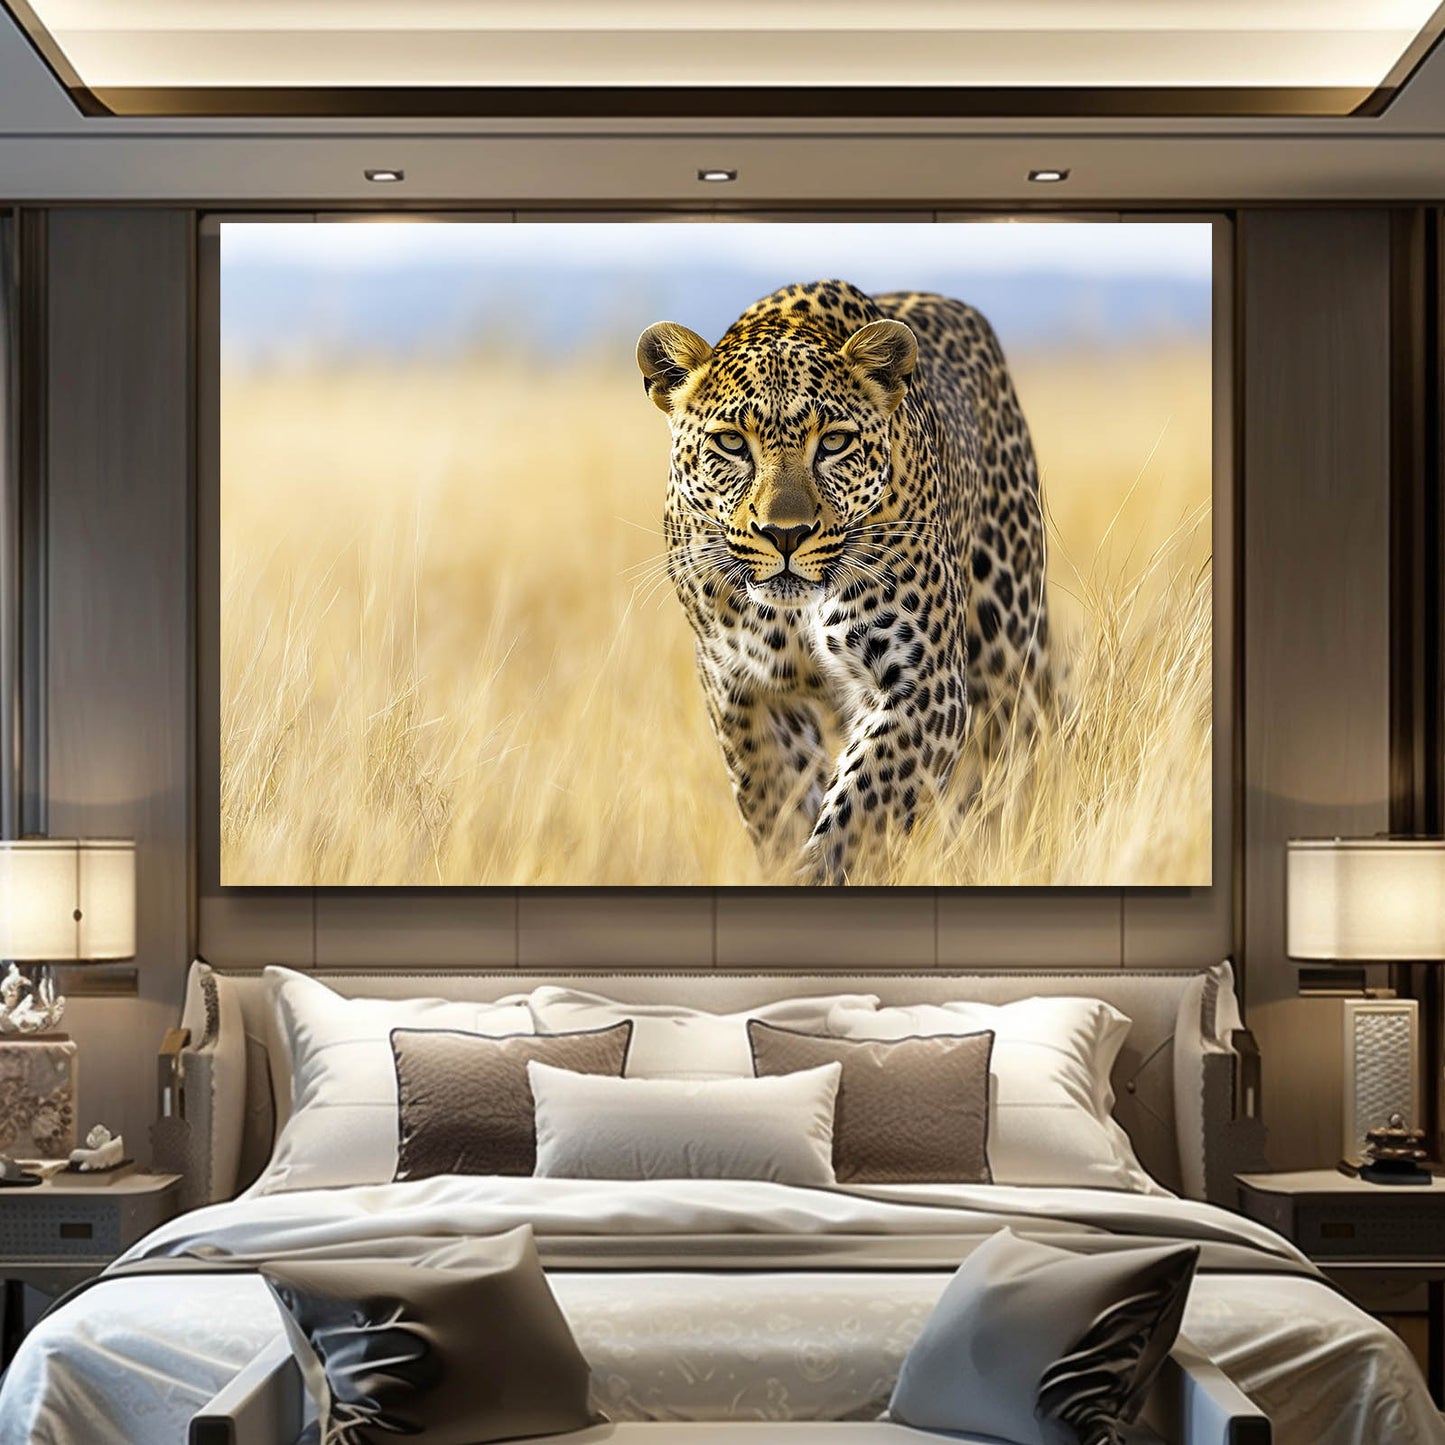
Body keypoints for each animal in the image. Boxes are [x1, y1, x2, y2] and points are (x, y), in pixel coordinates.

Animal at [637, 278, 1049, 884]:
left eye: (832, 443)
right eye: (731, 443)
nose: (785, 534)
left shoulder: (923, 683)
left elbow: (856, 816)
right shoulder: (742, 688)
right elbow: (778, 810)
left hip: (1008, 655)